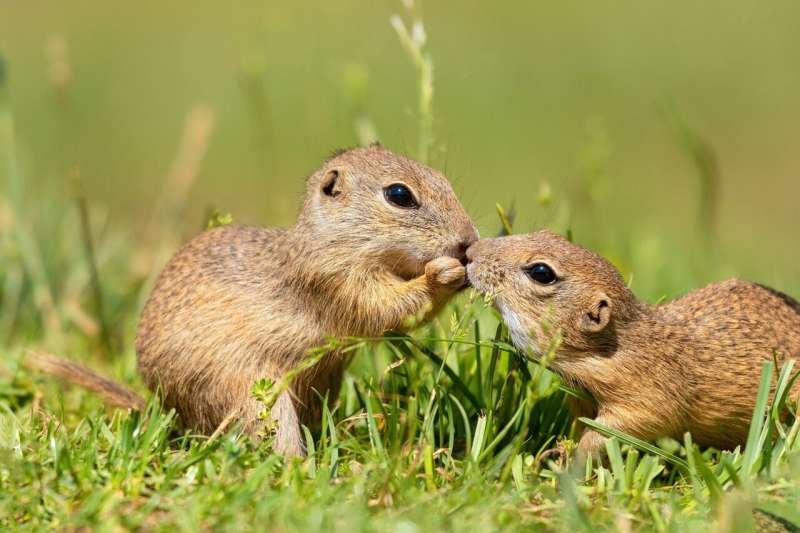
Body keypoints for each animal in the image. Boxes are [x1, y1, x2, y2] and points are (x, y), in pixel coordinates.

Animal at [31, 145, 478, 456]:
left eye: (443, 179)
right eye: (399, 194)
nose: (468, 242)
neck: (331, 241)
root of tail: (177, 418)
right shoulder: (336, 282)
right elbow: (388, 308)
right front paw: (443, 274)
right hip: (253, 395)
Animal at [465, 230, 800, 458]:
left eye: (541, 272)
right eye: (547, 233)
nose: (470, 251)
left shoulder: (646, 396)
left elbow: (615, 430)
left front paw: (568, 461)